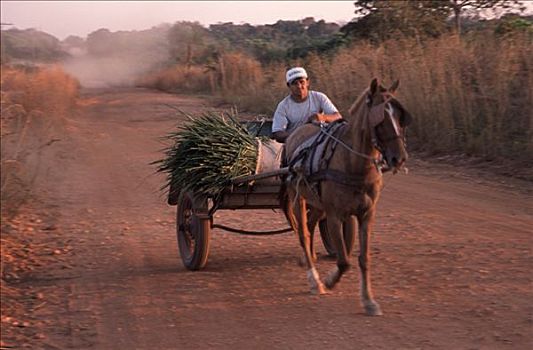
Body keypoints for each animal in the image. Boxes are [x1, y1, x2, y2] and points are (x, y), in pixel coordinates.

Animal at [282, 78, 412, 316]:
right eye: (381, 120)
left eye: (400, 118)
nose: (399, 158)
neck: (353, 164)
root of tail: (298, 132)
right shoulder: (335, 216)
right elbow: (343, 261)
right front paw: (328, 281)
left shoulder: (366, 215)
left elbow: (363, 259)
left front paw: (369, 300)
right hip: (297, 197)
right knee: (303, 234)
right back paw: (313, 278)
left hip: (317, 202)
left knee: (311, 224)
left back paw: (309, 257)